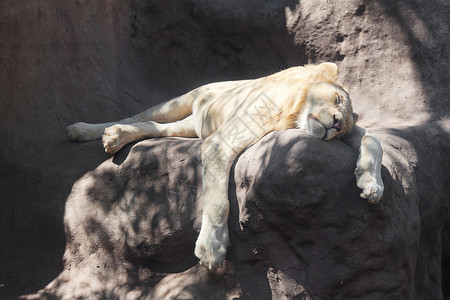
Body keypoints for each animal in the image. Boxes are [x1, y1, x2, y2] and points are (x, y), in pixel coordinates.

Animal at [67, 62, 384, 270]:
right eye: (337, 98)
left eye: (345, 128)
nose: (337, 124)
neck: (291, 116)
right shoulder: (220, 142)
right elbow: (219, 200)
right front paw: (212, 247)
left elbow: (374, 140)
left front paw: (371, 185)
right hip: (183, 102)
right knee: (141, 115)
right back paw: (85, 130)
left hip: (193, 127)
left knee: (154, 127)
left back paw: (116, 136)